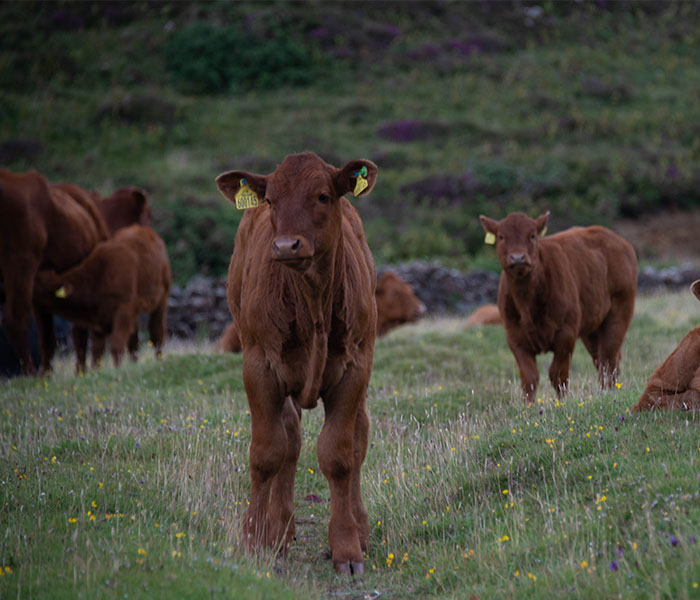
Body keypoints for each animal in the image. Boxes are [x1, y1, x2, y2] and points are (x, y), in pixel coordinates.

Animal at [34, 223, 172, 368]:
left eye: (37, 284)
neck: (99, 275)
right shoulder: (98, 321)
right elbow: (97, 351)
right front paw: (97, 370)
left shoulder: (123, 312)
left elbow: (116, 345)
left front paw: (118, 369)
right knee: (134, 339)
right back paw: (134, 363)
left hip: (161, 300)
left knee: (157, 333)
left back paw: (159, 361)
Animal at [217, 152, 378, 576]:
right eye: (271, 200)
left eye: (322, 195)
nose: (286, 245)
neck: (312, 305)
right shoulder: (258, 368)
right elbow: (267, 453)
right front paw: (255, 539)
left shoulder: (354, 371)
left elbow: (339, 455)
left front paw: (347, 546)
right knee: (289, 439)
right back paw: (281, 528)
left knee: (359, 437)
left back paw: (360, 526)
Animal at [478, 211, 636, 404]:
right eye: (501, 236)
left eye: (532, 235)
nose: (518, 257)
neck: (527, 303)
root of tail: (618, 240)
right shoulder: (514, 337)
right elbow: (529, 377)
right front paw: (528, 405)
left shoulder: (566, 333)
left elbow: (558, 374)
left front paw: (562, 402)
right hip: (591, 327)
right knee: (602, 359)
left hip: (620, 309)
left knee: (608, 359)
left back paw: (608, 393)